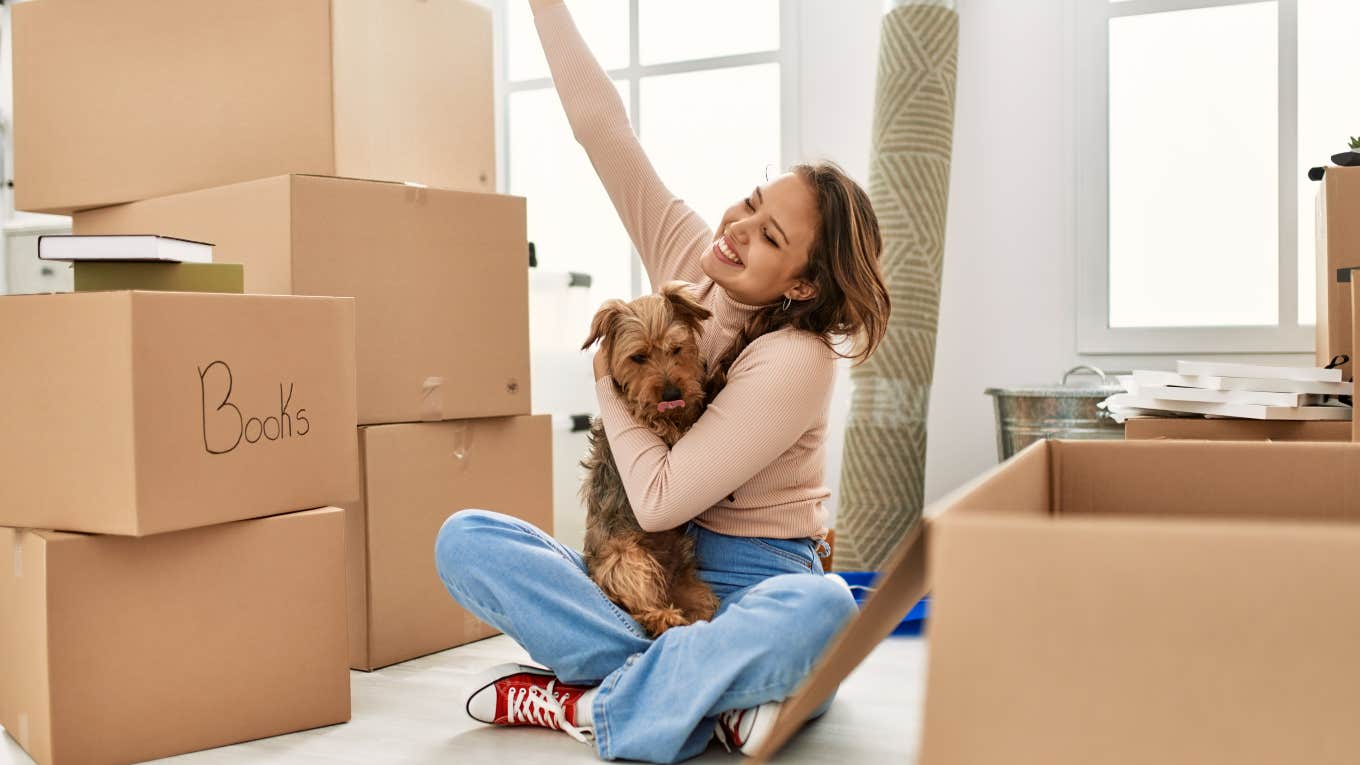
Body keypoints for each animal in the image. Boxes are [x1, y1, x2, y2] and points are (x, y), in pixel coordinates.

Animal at [576, 283, 723, 634]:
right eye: (638, 357)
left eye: (677, 349)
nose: (671, 394)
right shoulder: (648, 419)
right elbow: (655, 419)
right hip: (624, 559)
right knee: (641, 607)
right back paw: (663, 617)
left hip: (694, 589)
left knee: (699, 608)